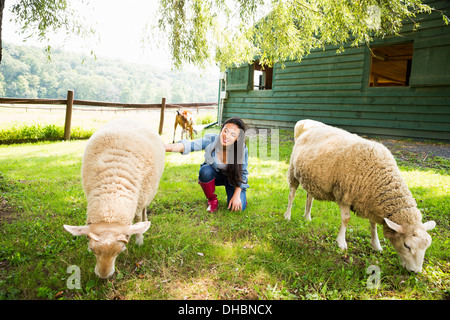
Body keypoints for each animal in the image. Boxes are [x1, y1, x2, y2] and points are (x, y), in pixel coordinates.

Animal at [65, 117, 165, 278]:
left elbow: (137, 219)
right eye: (92, 250)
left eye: (120, 251)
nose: (103, 276)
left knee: (144, 211)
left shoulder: (139, 201)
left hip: (147, 192)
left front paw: (139, 239)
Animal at [284, 120, 436, 272]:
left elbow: (373, 225)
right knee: (292, 195)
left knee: (309, 197)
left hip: (310, 178)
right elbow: (346, 219)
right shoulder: (344, 195)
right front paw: (341, 242)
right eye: (406, 245)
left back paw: (307, 217)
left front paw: (376, 244)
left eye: (427, 246)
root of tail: (305, 123)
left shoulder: (370, 202)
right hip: (293, 170)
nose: (415, 272)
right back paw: (287, 215)